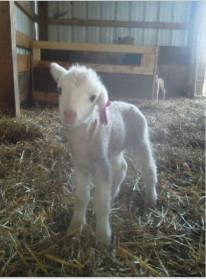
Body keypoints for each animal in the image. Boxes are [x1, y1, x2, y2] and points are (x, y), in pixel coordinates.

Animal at [50, 62, 158, 246]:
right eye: (59, 90)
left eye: (93, 97)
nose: (69, 114)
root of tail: (130, 104)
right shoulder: (80, 165)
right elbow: (81, 197)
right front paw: (75, 227)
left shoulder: (101, 164)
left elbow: (101, 202)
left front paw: (102, 237)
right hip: (113, 148)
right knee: (121, 168)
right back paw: (113, 194)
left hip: (140, 139)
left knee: (148, 169)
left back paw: (151, 199)